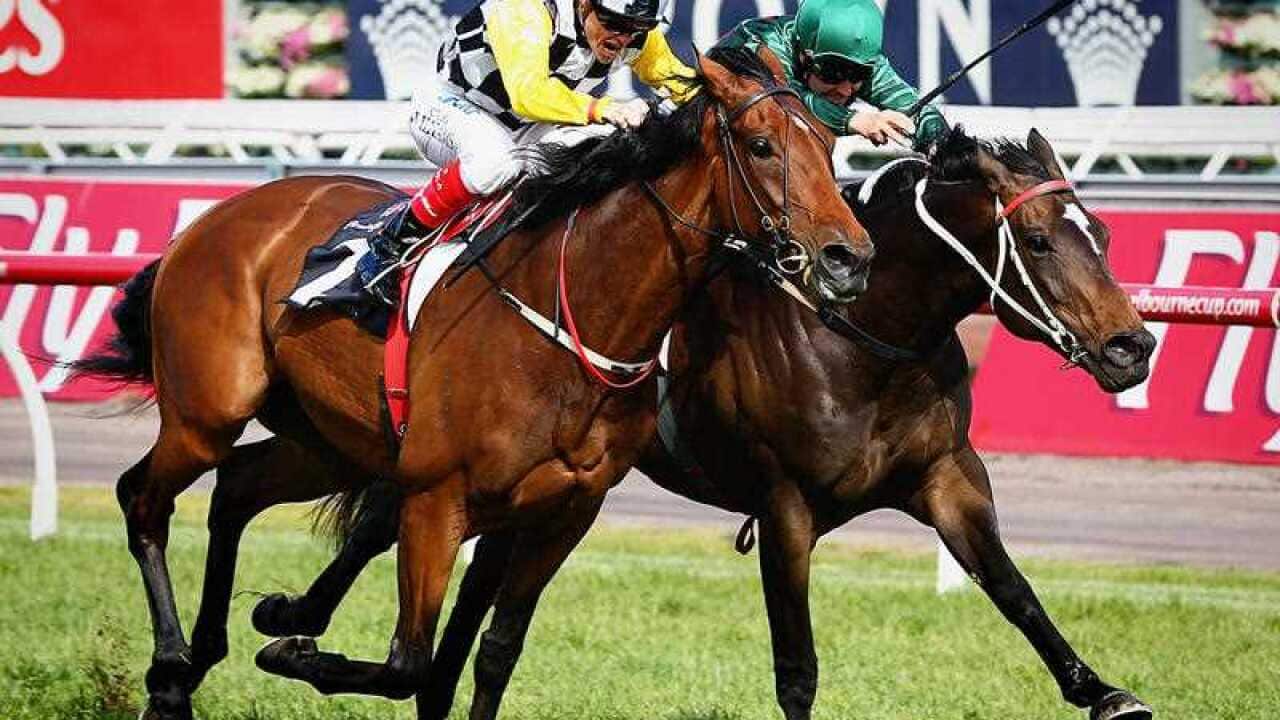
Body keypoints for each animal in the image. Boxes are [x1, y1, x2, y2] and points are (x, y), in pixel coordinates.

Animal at [74, 46, 873, 720]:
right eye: (762, 146)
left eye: (828, 145)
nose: (849, 257)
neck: (578, 315)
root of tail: (214, 218)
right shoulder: (436, 498)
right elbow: (410, 662)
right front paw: (292, 647)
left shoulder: (562, 513)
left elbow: (492, 650)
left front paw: (283, 622)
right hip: (209, 411)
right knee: (142, 497)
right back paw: (171, 666)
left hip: (327, 442)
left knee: (236, 488)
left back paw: (206, 652)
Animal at [245, 126, 1157, 720]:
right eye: (1036, 240)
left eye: (1104, 233)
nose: (1133, 346)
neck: (861, 336)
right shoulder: (787, 506)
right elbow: (797, 666)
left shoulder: (945, 477)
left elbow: (1012, 588)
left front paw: (1102, 691)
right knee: (382, 530)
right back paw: (289, 621)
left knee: (472, 610)